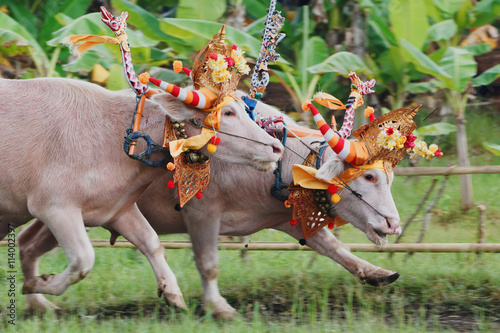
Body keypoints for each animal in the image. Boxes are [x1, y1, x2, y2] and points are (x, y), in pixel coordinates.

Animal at [0, 77, 284, 308]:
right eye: (228, 112)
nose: (276, 148)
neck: (116, 138)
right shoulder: (54, 208)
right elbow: (83, 260)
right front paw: (39, 283)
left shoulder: (118, 210)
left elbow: (152, 243)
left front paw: (173, 293)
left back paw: (40, 306)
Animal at [19, 94, 400, 318]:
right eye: (368, 177)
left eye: (389, 177)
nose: (393, 225)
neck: (280, 164)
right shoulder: (201, 214)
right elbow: (209, 264)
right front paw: (219, 307)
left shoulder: (287, 219)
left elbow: (335, 248)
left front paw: (377, 273)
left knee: (26, 244)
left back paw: (37, 298)